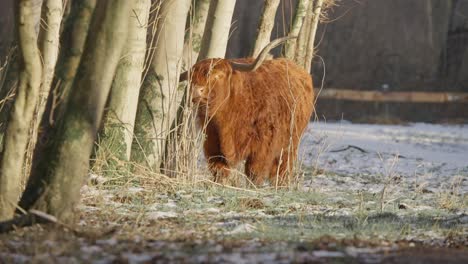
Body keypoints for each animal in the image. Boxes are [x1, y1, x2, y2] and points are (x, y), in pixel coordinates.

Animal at [185, 37, 312, 186]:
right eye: (192, 77)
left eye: (218, 76)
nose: (196, 91)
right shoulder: (213, 142)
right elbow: (219, 171)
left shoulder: (263, 147)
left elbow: (254, 172)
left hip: (291, 142)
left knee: (282, 168)